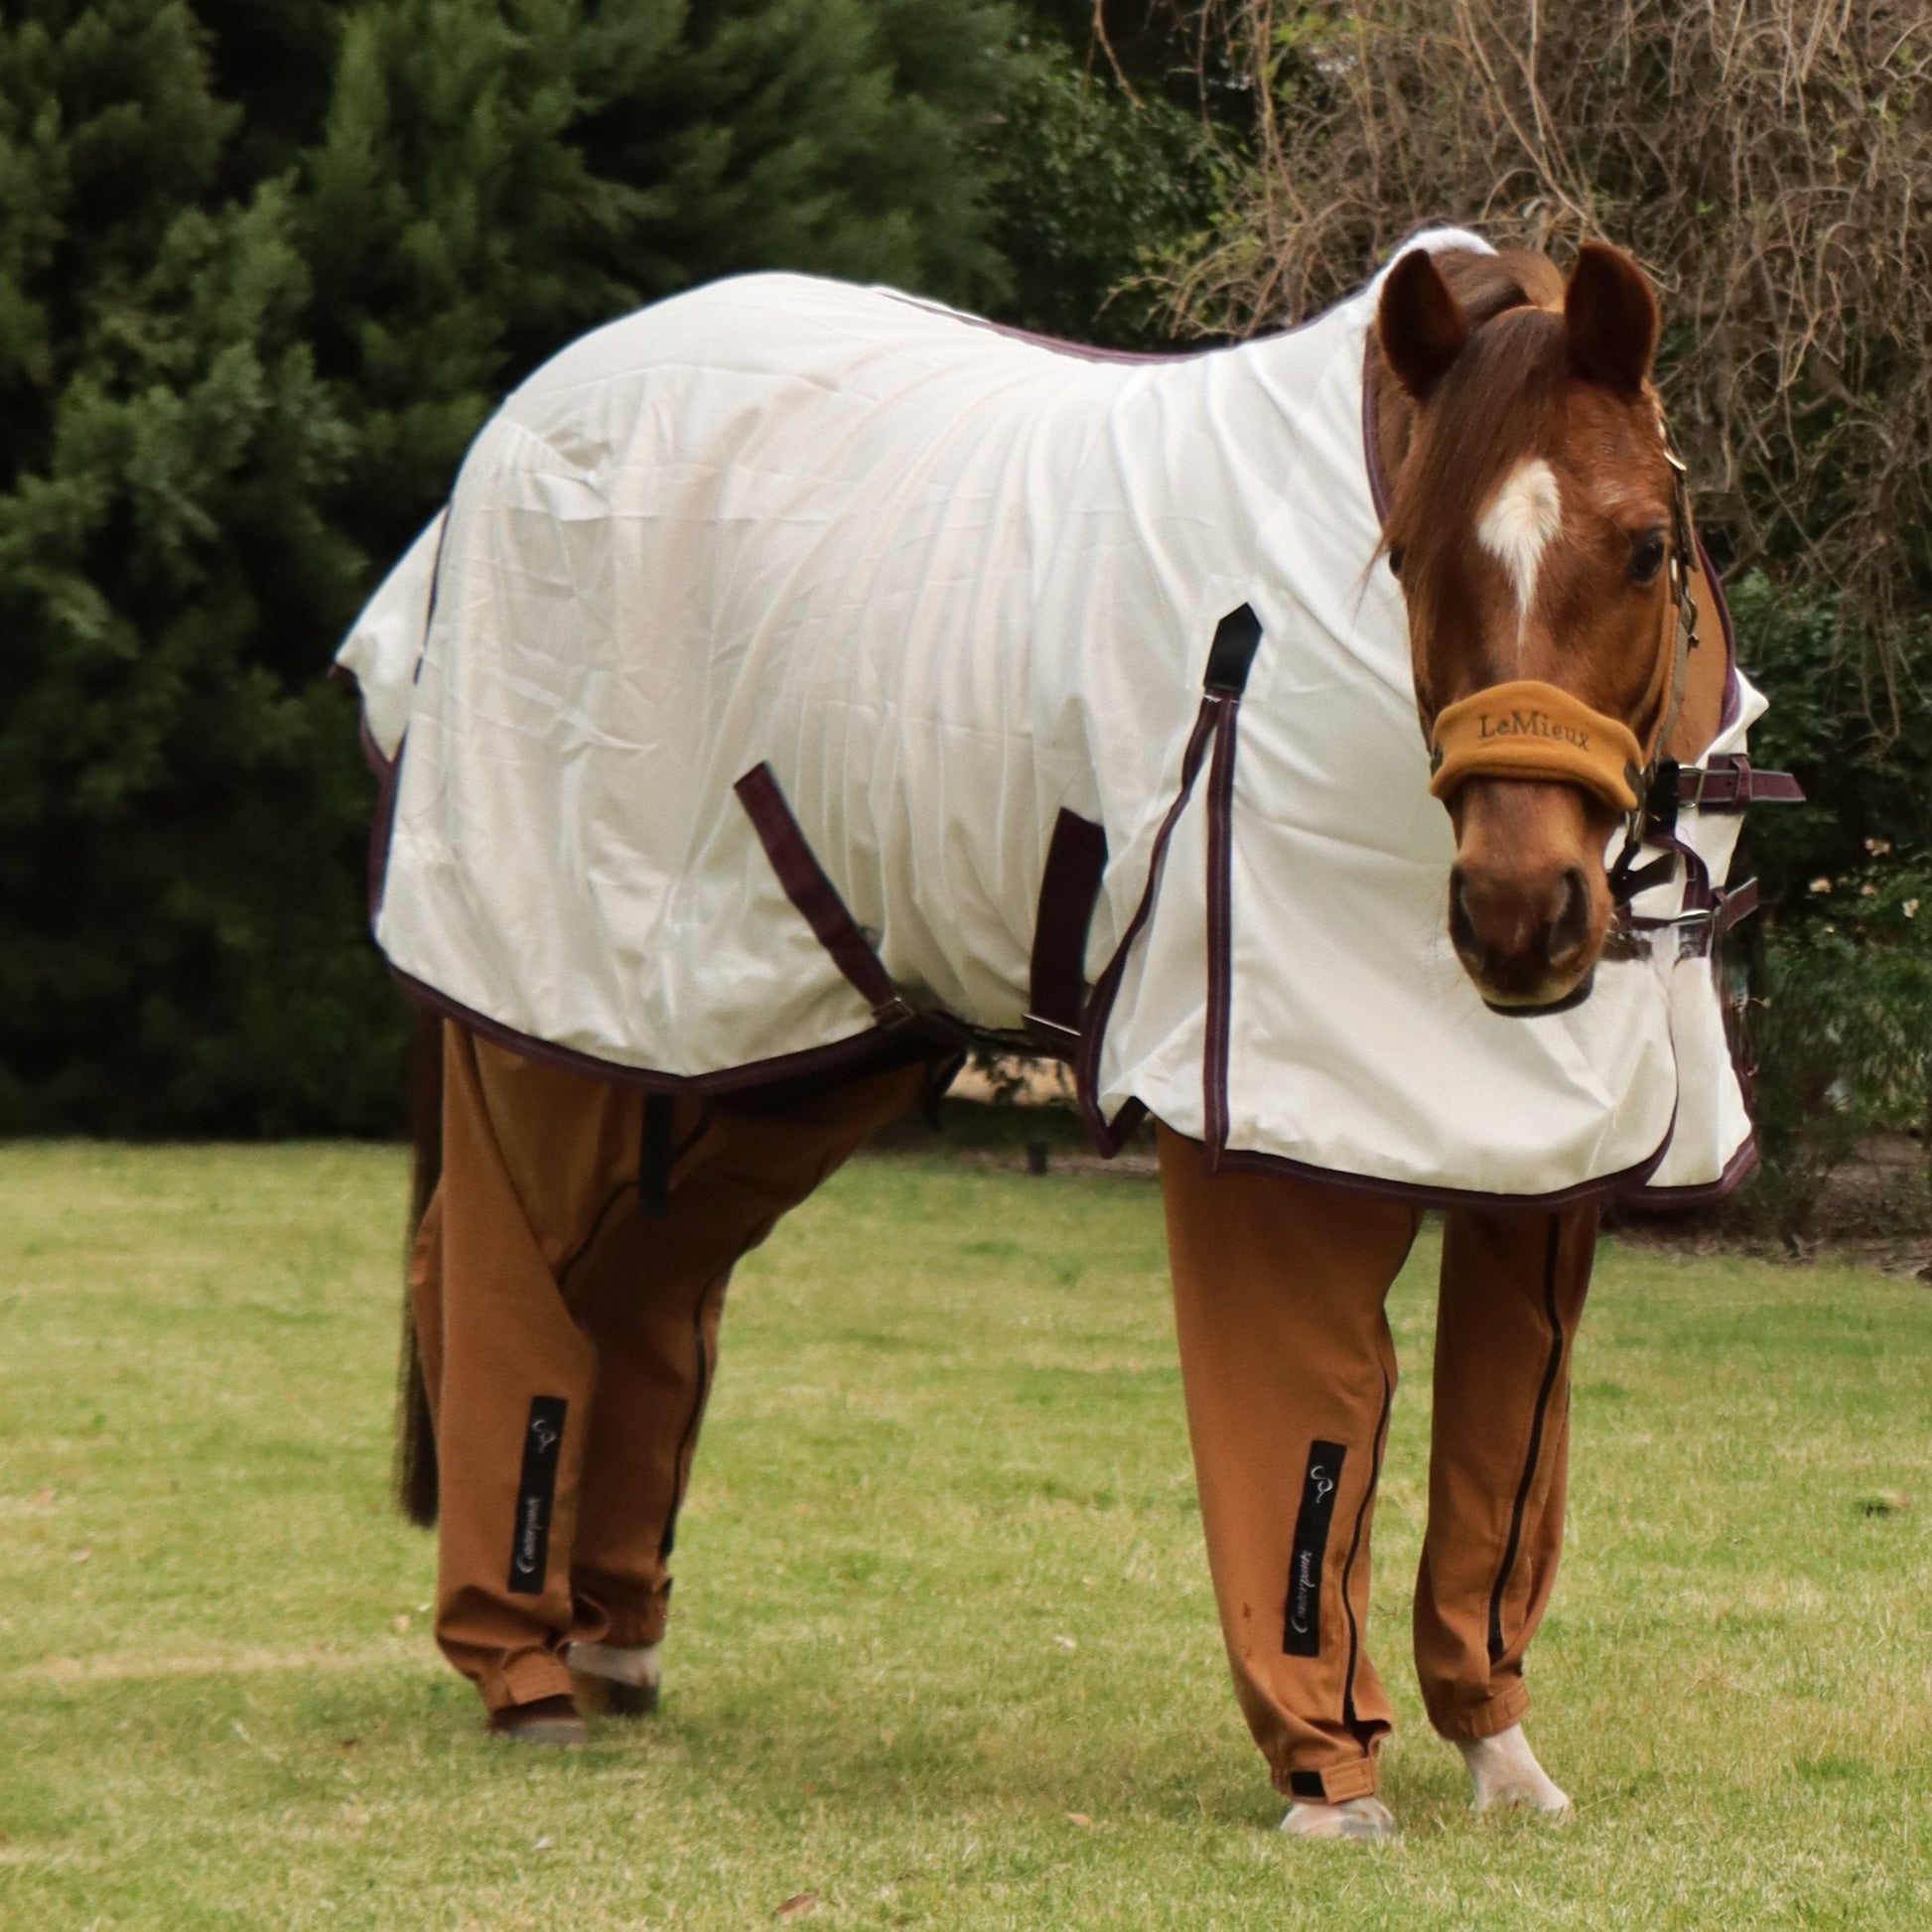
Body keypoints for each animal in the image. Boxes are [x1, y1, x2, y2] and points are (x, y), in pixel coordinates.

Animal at [338, 228, 1788, 1835]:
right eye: (1406, 558)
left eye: (1645, 548)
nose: (1517, 920)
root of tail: (510, 441)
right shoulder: (1259, 1127)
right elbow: (1304, 1428)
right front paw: (1327, 1774)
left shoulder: (1540, 1170)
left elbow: (1498, 1487)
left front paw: (1500, 1754)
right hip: (540, 998)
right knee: (493, 1269)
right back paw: (519, 1667)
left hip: (771, 1034)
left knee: (637, 1276)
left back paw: (611, 1647)